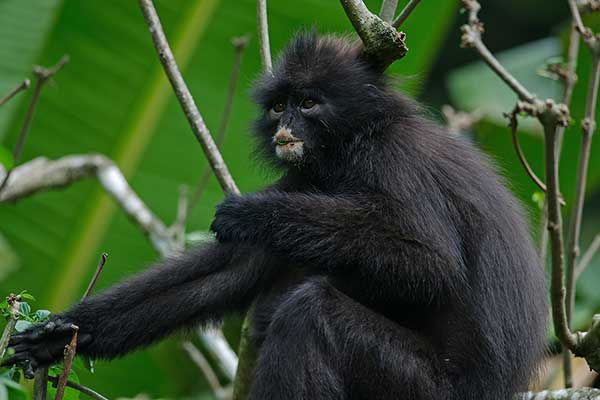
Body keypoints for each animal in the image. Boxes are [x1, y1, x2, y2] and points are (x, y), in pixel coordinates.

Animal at [2, 32, 548, 398]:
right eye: (278, 105)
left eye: (308, 103)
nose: (286, 128)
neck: (353, 144)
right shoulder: (306, 178)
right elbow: (230, 270)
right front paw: (59, 335)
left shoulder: (393, 161)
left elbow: (430, 265)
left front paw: (252, 214)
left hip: (424, 387)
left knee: (311, 313)